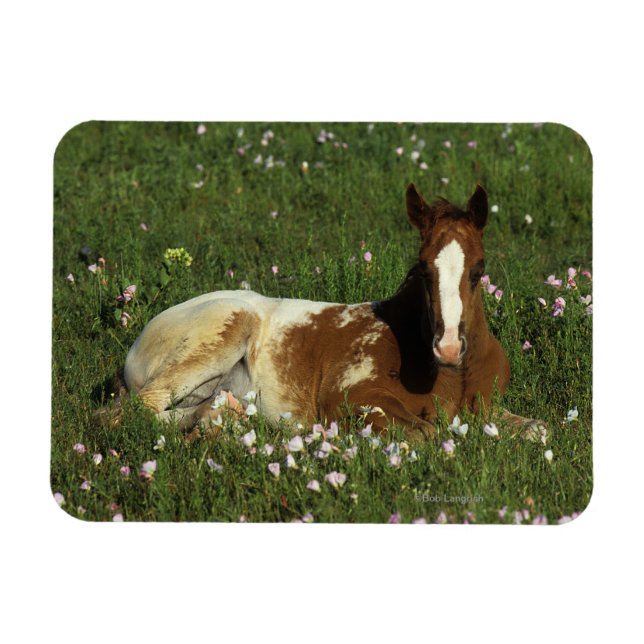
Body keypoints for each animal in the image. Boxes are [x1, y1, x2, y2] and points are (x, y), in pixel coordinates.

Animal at [98, 184, 546, 441]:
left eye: (479, 270)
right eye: (422, 268)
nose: (449, 347)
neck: (452, 375)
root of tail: (140, 341)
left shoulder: (489, 409)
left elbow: (539, 431)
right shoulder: (347, 396)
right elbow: (424, 434)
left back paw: (227, 416)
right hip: (226, 328)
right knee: (132, 411)